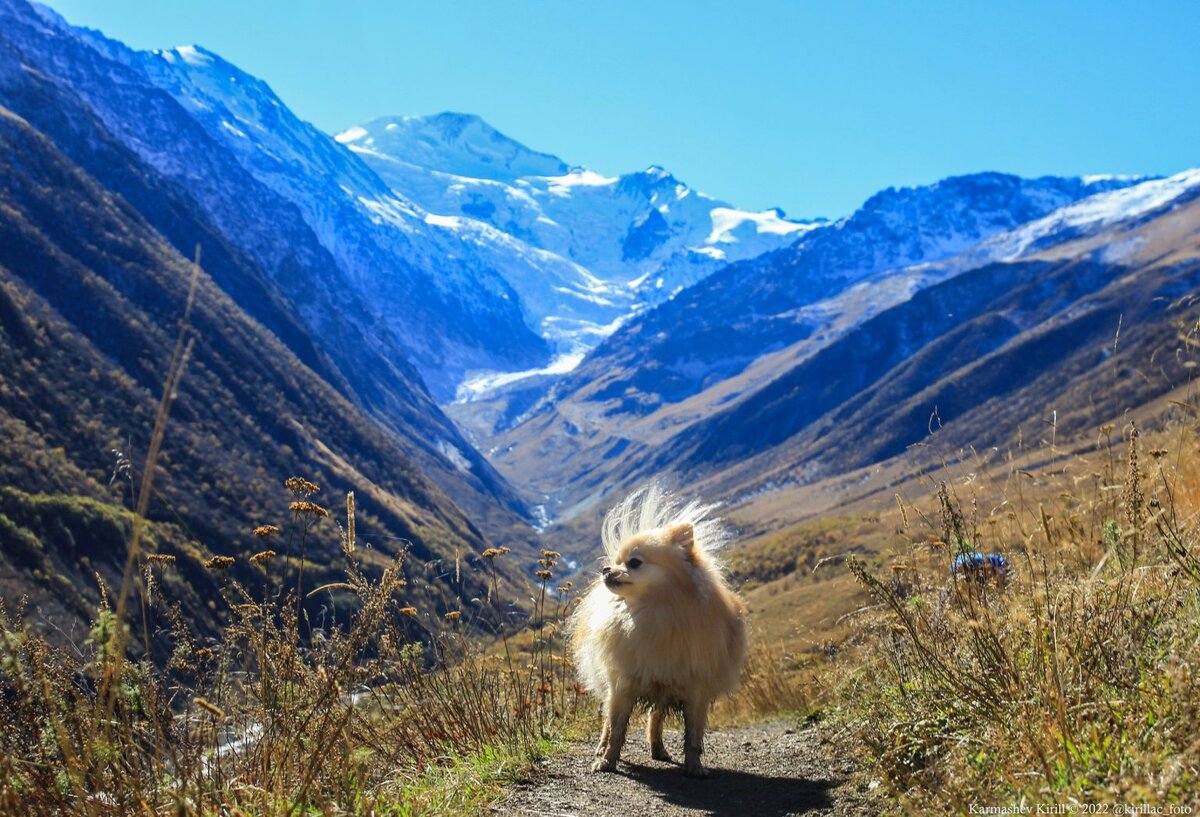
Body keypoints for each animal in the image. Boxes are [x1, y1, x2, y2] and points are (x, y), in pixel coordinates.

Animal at [568, 484, 739, 777]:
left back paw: (658, 749)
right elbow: (616, 730)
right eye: (616, 561)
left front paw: (695, 767)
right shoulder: (622, 686)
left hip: (663, 687)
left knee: (655, 718)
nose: (606, 569)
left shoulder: (696, 691)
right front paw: (607, 761)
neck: (653, 612)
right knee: (607, 721)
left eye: (634, 562)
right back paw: (601, 748)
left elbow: (694, 736)